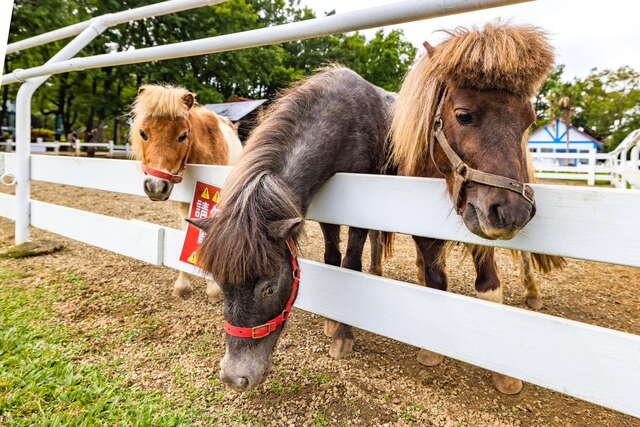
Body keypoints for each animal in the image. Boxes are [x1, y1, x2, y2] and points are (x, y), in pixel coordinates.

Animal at [129, 84, 242, 300]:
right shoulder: (184, 205)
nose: (155, 187)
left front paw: (213, 288)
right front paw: (182, 284)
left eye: (182, 136)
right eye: (143, 133)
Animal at [186, 66, 396, 392]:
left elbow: (350, 263)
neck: (345, 122)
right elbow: (332, 257)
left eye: (269, 288)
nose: (234, 377)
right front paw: (331, 322)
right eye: (221, 283)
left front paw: (343, 336)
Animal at [388, 21, 564, 392]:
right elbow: (435, 282)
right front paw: (430, 350)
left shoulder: (482, 224)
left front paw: (504, 374)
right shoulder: (424, 229)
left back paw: (533, 292)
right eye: (464, 115)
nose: (513, 213)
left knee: (525, 257)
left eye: (529, 120)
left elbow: (490, 289)